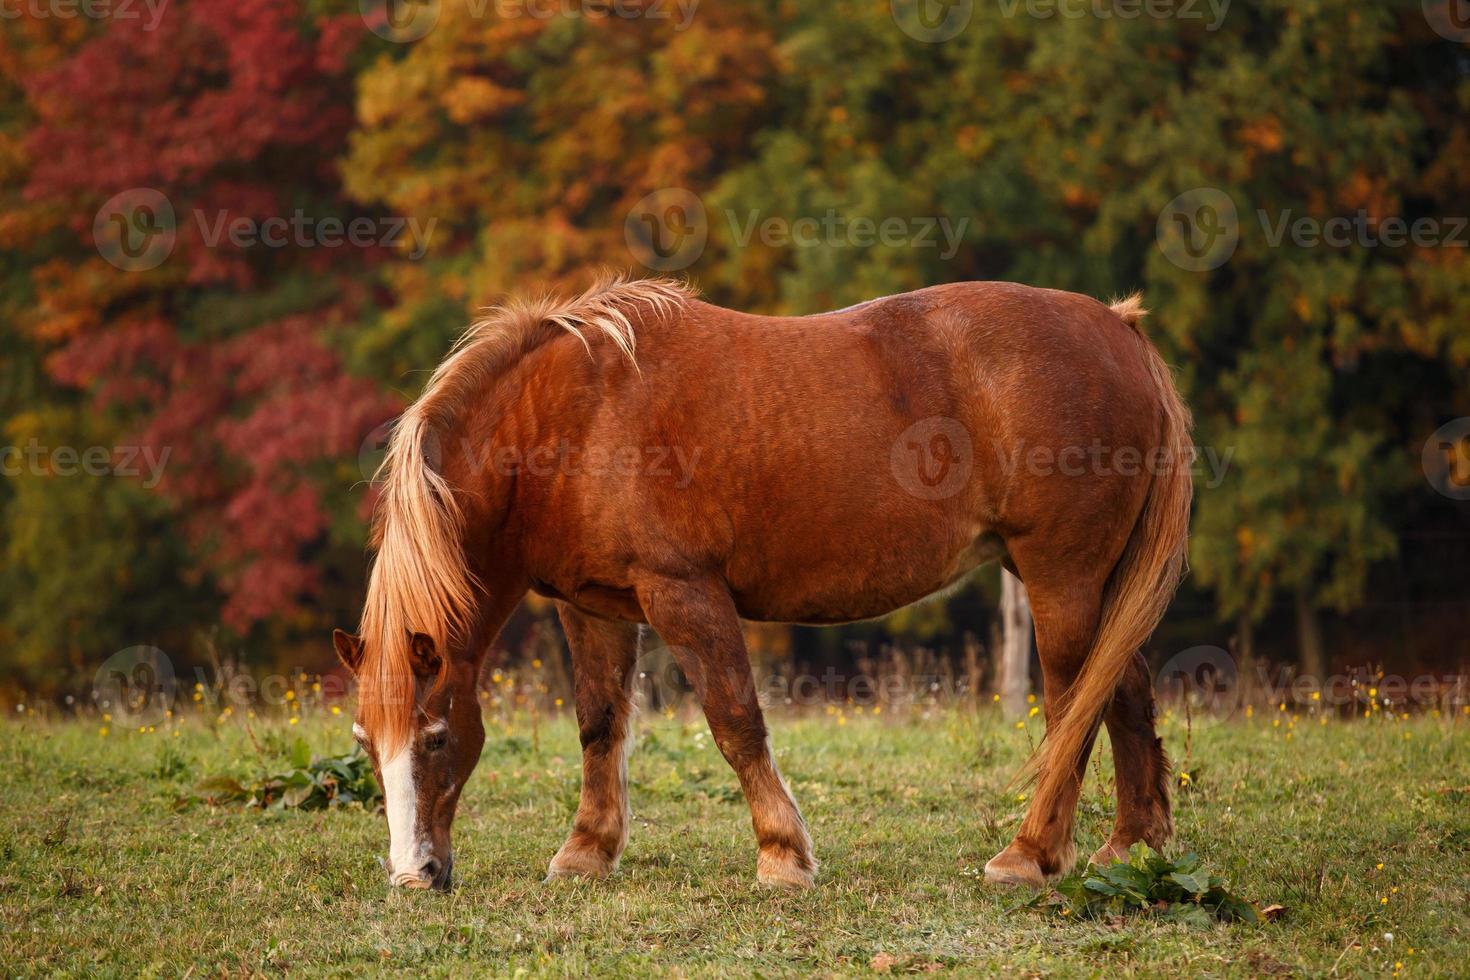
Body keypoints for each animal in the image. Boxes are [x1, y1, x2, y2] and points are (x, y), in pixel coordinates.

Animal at [327, 271, 1187, 893]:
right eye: (366, 742)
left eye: (437, 736)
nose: (413, 875)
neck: (576, 419)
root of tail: (1118, 327)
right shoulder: (593, 609)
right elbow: (600, 726)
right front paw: (586, 853)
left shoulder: (684, 593)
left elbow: (735, 721)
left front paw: (782, 856)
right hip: (1086, 580)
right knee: (1125, 689)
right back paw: (1131, 849)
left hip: (1060, 575)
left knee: (1075, 707)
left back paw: (1031, 855)